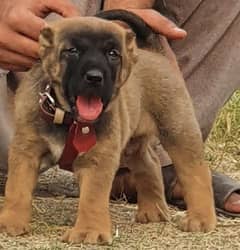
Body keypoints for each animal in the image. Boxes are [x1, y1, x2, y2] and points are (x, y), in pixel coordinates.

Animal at [0, 14, 216, 244]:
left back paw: (201, 218)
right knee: (149, 163)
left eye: (113, 54)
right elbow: (17, 188)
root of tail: (153, 52)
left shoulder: (98, 158)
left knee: (195, 172)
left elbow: (92, 197)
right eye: (72, 51)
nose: (95, 77)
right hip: (133, 143)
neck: (70, 120)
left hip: (177, 129)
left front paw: (89, 231)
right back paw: (153, 211)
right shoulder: (26, 151)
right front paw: (11, 221)